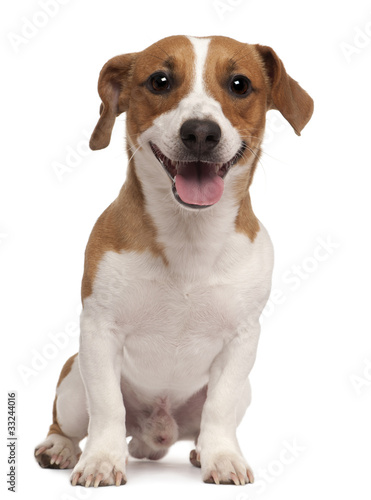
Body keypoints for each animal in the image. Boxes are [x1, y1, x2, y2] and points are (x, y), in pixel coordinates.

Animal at [35, 36, 314, 488]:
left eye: (239, 84)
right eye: (160, 81)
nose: (200, 131)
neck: (190, 234)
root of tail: (155, 435)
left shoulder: (241, 340)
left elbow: (219, 407)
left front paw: (223, 457)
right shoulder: (98, 331)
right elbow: (108, 407)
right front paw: (101, 460)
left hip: (243, 393)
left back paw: (201, 450)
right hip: (74, 381)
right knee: (71, 422)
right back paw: (60, 447)